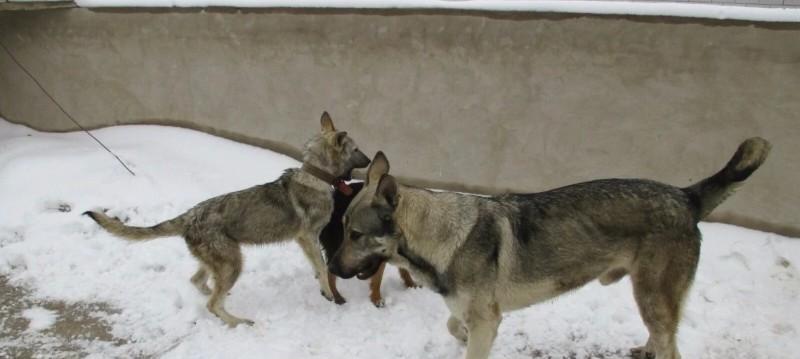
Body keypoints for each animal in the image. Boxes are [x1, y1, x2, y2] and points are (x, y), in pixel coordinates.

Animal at [83, 113, 370, 330]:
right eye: (356, 149)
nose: (369, 160)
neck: (316, 176)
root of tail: (189, 216)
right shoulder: (307, 237)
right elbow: (322, 267)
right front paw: (330, 294)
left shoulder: (306, 241)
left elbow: (317, 267)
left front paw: (322, 288)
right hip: (233, 262)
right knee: (211, 302)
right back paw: (237, 321)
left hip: (219, 262)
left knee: (199, 283)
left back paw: (219, 297)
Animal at [330, 139, 768, 359]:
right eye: (344, 229)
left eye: (356, 234)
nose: (331, 269)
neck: (440, 238)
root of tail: (684, 195)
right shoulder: (475, 316)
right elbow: (453, 327)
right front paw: (459, 337)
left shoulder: (487, 320)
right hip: (651, 301)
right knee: (663, 341)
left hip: (652, 297)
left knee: (670, 347)